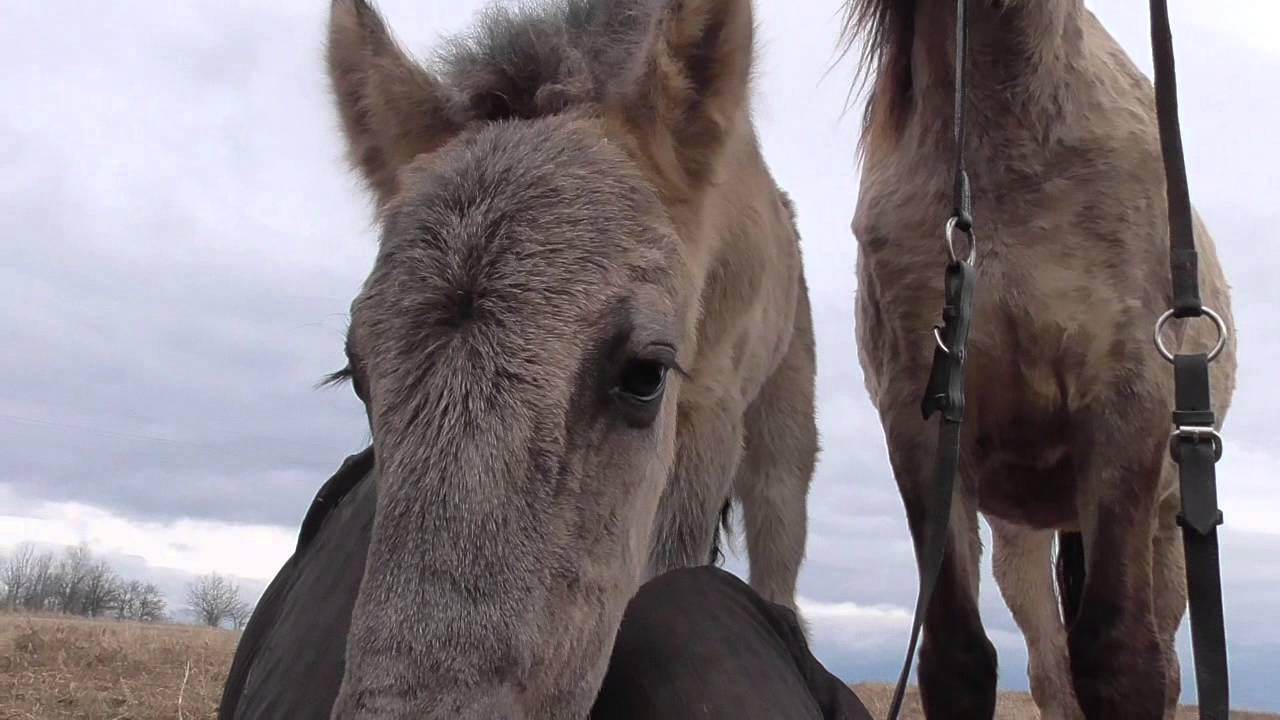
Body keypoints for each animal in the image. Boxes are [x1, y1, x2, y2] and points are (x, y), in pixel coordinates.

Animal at [844, 1, 1233, 717]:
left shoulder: (1125, 405)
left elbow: (1122, 658)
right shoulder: (922, 420)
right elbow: (958, 656)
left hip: (1166, 530)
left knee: (1161, 663)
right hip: (1022, 535)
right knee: (1050, 667)